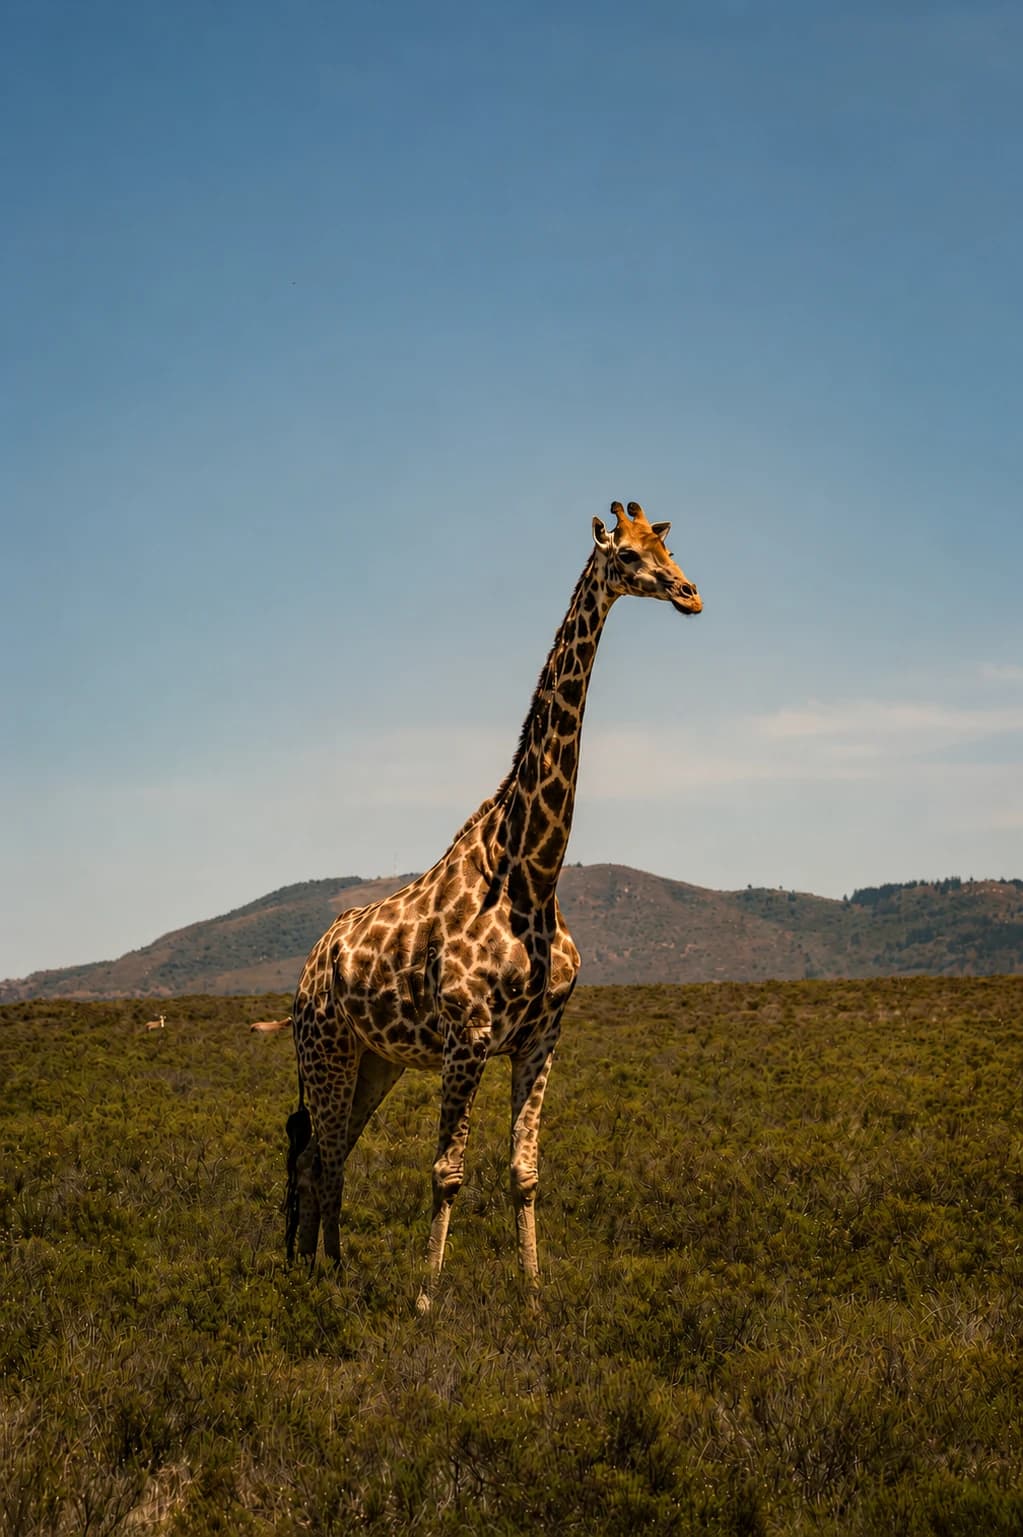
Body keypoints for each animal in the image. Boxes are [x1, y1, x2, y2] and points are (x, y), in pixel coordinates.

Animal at [285, 501, 703, 1310]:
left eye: (667, 546)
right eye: (627, 556)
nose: (690, 593)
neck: (531, 870)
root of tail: (311, 966)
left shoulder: (540, 1036)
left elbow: (524, 1171)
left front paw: (534, 1292)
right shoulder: (468, 1034)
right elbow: (447, 1172)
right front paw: (424, 1298)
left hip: (374, 1058)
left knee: (328, 1150)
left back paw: (328, 1270)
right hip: (326, 1046)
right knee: (317, 1153)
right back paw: (317, 1277)